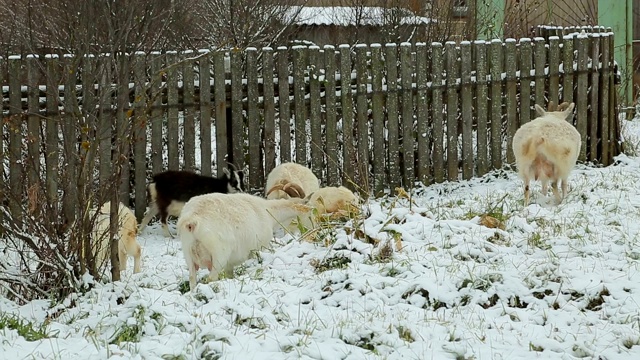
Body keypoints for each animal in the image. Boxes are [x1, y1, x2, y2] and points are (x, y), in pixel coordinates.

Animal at [176, 193, 312, 292]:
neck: (268, 211)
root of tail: (192, 220)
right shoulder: (259, 247)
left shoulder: (229, 263)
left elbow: (230, 274)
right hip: (219, 254)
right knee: (211, 277)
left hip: (188, 252)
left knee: (192, 278)